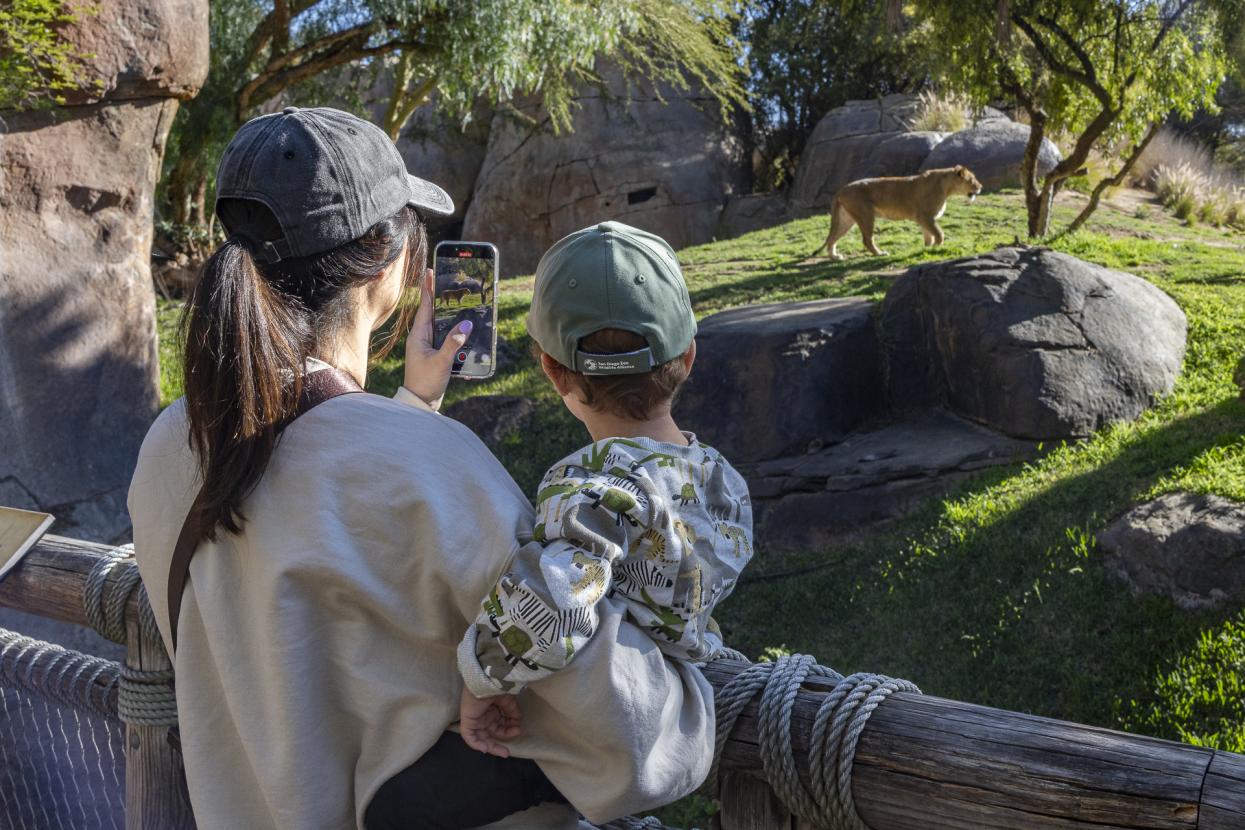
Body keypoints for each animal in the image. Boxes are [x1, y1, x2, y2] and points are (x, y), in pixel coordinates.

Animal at [812, 165, 983, 260]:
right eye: (972, 179)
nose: (980, 187)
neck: (946, 187)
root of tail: (842, 189)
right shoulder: (925, 216)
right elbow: (939, 233)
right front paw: (938, 247)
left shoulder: (923, 219)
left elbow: (928, 235)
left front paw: (928, 249)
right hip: (866, 215)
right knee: (867, 240)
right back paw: (880, 254)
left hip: (846, 219)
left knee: (832, 238)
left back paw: (835, 257)